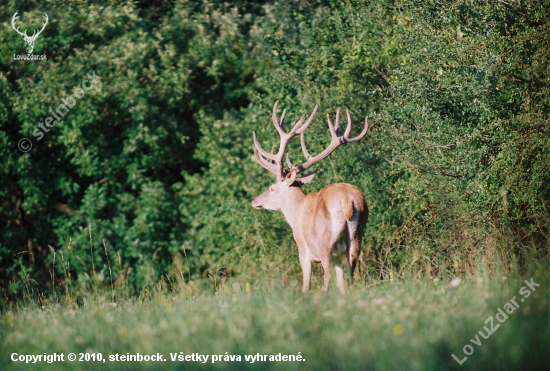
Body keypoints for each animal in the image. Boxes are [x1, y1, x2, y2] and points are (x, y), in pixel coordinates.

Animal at [253, 101, 370, 294]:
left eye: (272, 188)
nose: (255, 201)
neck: (296, 212)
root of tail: (347, 200)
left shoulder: (303, 249)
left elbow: (306, 284)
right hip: (356, 236)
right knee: (350, 272)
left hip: (325, 241)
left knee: (327, 273)